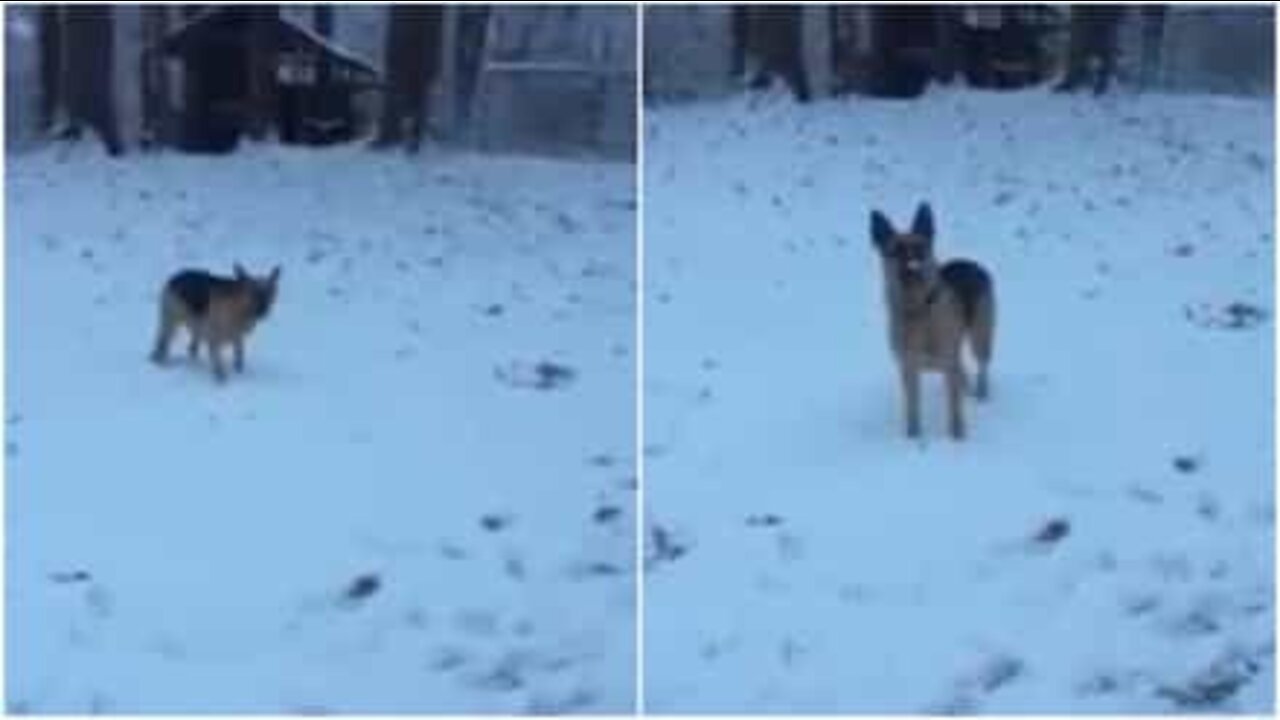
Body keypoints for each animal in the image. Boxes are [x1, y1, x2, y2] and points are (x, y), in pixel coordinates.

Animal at [149, 262, 280, 381]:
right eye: (252, 293)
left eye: (269, 293)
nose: (262, 311)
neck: (240, 307)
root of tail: (175, 277)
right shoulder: (214, 337)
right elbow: (218, 359)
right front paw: (220, 378)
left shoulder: (237, 337)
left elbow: (239, 354)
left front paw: (239, 372)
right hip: (171, 321)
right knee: (163, 341)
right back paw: (159, 360)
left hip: (195, 326)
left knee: (191, 346)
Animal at [875, 202, 993, 438]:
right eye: (896, 251)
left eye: (920, 249)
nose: (913, 268)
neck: (918, 309)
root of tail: (971, 263)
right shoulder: (908, 369)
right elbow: (912, 408)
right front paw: (913, 437)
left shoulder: (948, 362)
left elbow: (955, 410)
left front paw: (957, 438)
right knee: (963, 373)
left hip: (980, 336)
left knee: (982, 365)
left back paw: (981, 393)